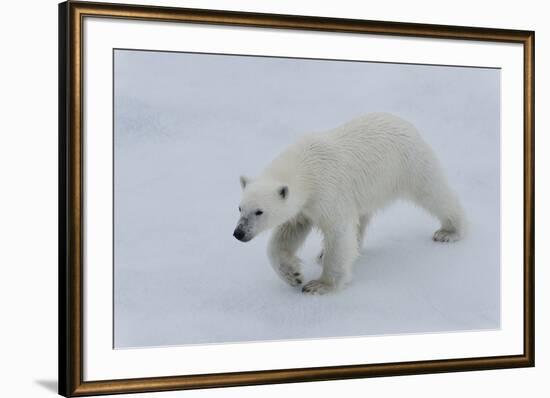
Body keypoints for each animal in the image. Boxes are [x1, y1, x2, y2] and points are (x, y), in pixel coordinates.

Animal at [235, 113, 468, 294]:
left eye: (259, 211)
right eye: (240, 208)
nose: (238, 233)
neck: (305, 167)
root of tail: (405, 123)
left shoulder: (327, 191)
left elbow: (338, 231)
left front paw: (320, 285)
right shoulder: (305, 207)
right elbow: (288, 233)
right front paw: (293, 274)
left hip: (409, 164)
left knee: (433, 193)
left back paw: (449, 231)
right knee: (360, 219)